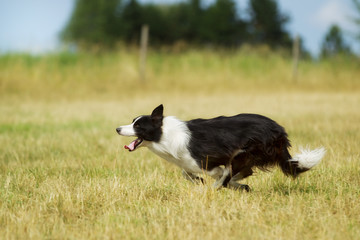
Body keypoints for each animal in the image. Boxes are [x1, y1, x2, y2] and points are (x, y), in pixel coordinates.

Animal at [116, 105, 324, 191]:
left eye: (138, 126)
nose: (117, 128)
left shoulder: (209, 159)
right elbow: (186, 172)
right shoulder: (189, 162)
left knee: (234, 173)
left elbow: (218, 173)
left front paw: (210, 183)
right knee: (242, 172)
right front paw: (198, 180)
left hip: (247, 151)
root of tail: (279, 130)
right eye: (132, 121)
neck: (163, 134)